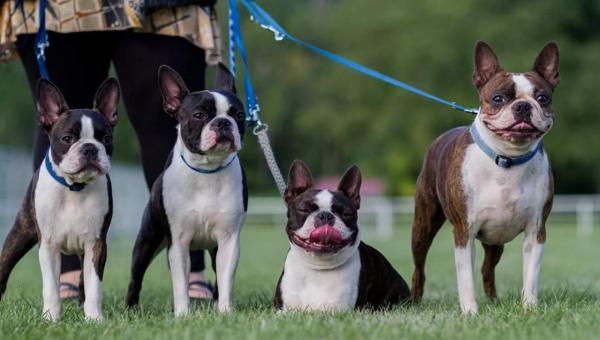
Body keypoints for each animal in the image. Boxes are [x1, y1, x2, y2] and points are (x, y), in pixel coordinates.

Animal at [0, 77, 119, 322]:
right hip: (20, 233)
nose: (90, 148)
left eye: (106, 139)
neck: (74, 188)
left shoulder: (96, 245)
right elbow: (51, 288)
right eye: (67, 138)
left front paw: (94, 319)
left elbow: (94, 286)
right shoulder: (48, 246)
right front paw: (51, 319)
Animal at [125, 64, 247, 316]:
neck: (207, 170)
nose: (223, 123)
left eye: (239, 115)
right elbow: (180, 283)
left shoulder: (228, 241)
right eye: (199, 115)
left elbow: (226, 280)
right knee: (136, 277)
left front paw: (225, 312)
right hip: (147, 241)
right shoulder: (178, 243)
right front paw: (182, 315)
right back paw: (131, 307)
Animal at [274, 161, 410, 312]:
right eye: (304, 209)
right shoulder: (283, 308)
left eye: (346, 213)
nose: (325, 215)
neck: (319, 268)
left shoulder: (339, 308)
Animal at [410, 41, 560, 314]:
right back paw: (414, 301)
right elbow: (465, 279)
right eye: (498, 98)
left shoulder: (536, 232)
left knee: (487, 269)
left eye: (542, 98)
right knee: (419, 268)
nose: (523, 106)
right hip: (423, 227)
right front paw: (470, 313)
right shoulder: (464, 233)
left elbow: (531, 276)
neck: (507, 159)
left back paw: (493, 300)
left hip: (495, 242)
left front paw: (529, 308)